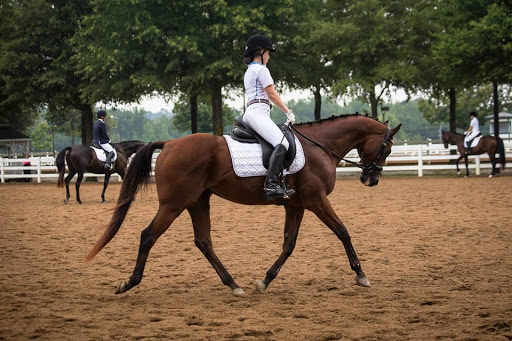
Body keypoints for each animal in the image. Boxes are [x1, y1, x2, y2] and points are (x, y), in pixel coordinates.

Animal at [86, 114, 402, 294]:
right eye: (386, 148)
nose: (371, 178)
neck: (319, 145)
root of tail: (170, 144)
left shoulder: (296, 206)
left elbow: (289, 245)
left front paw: (265, 281)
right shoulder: (316, 200)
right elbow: (343, 232)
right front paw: (361, 275)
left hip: (197, 202)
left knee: (203, 241)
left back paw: (233, 285)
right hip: (173, 205)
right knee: (148, 236)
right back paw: (129, 282)